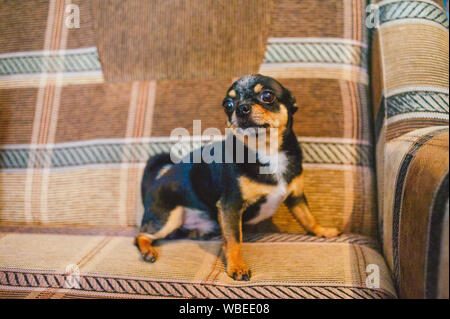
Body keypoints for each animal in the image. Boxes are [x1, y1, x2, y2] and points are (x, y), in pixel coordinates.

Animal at [135, 74, 340, 282]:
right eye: (228, 104)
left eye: (267, 96)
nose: (241, 108)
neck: (267, 152)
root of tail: (157, 180)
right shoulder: (230, 206)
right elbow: (234, 239)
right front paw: (237, 267)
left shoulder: (296, 197)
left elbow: (308, 217)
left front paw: (322, 231)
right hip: (169, 217)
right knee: (141, 235)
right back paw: (148, 251)